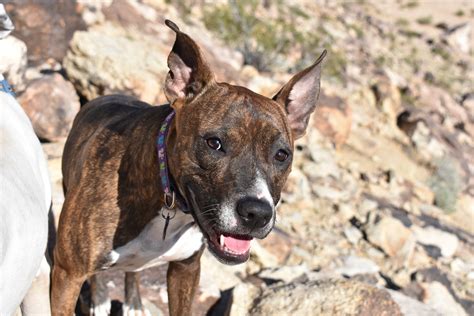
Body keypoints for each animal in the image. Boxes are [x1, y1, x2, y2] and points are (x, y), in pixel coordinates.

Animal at [52, 19, 326, 314]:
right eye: (214, 143)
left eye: (281, 155)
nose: (257, 214)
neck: (167, 199)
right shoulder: (67, 275)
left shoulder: (186, 270)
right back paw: (101, 299)